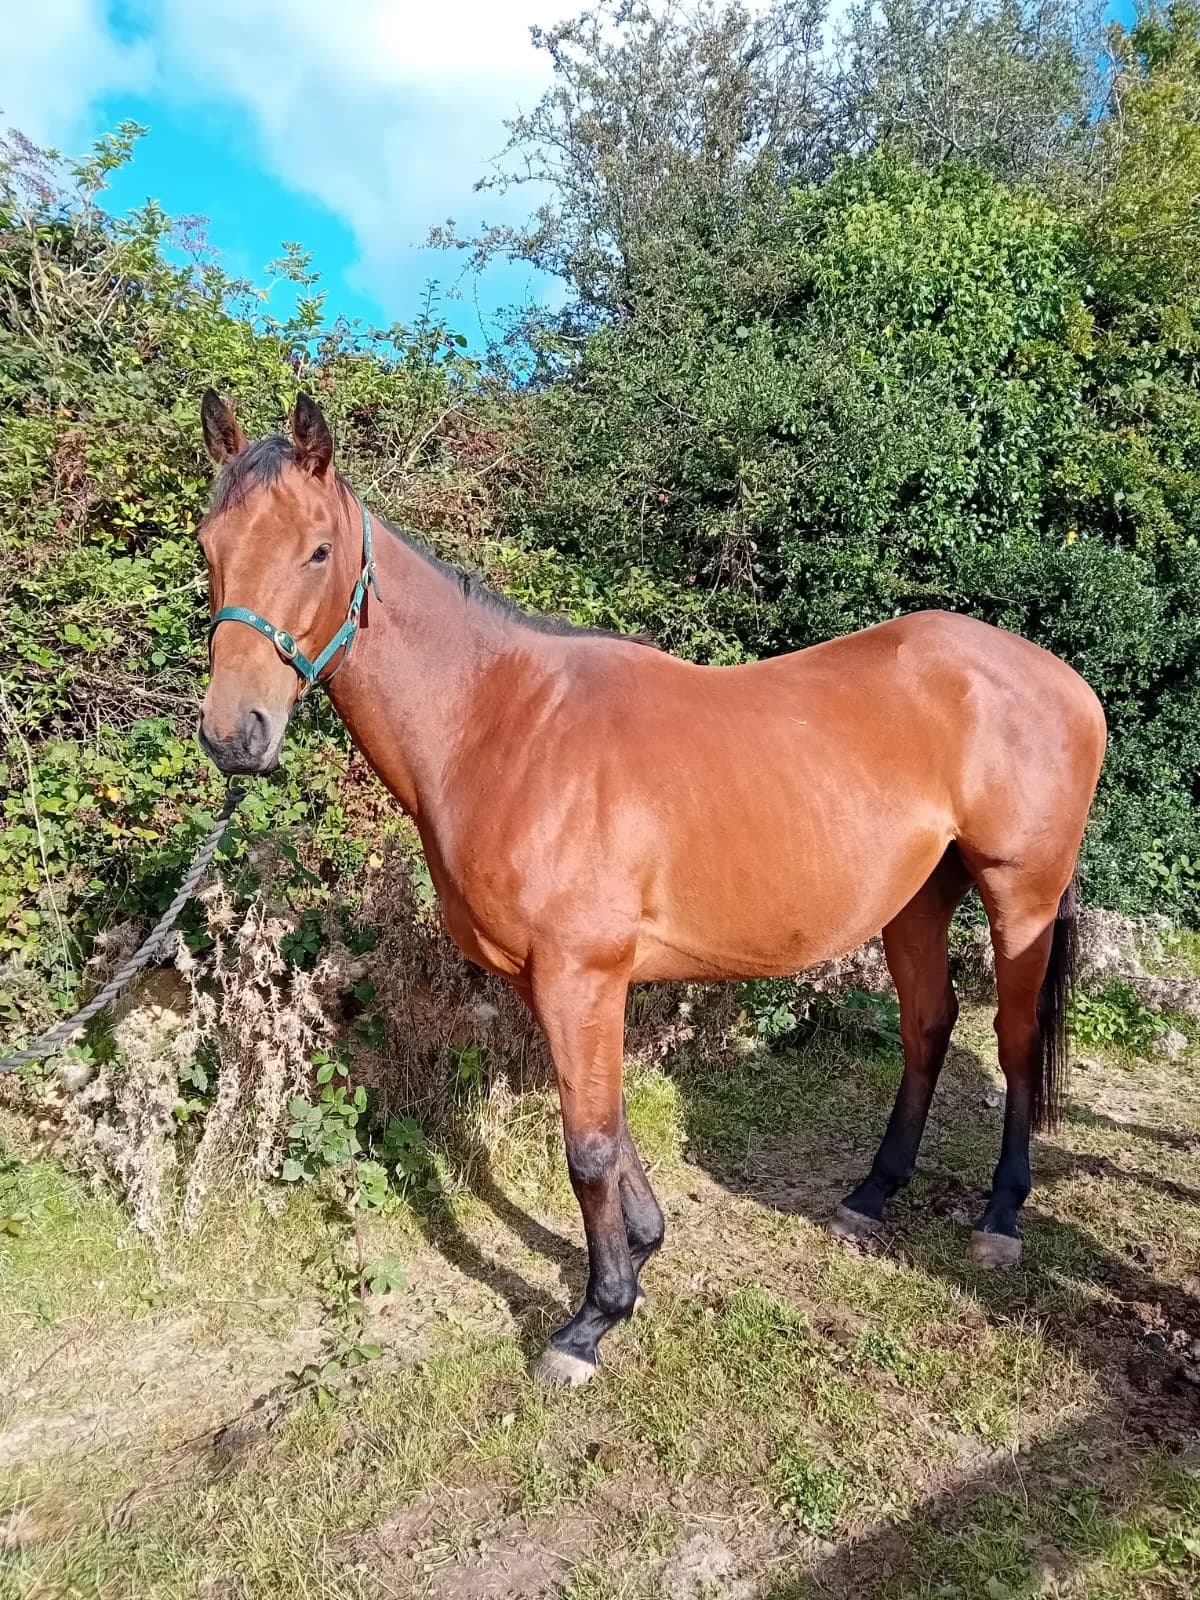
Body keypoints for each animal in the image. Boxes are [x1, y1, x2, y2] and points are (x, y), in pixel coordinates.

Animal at [195, 389, 1107, 1386]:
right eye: (209, 547)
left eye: (318, 550)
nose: (234, 735)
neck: (502, 725)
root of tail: (1064, 680)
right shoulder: (556, 980)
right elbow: (609, 1121)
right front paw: (642, 1245)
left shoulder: (581, 973)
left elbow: (587, 1147)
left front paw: (594, 1318)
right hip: (916, 901)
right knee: (929, 1027)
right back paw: (871, 1196)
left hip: (1020, 898)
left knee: (1013, 1042)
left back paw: (1000, 1219)